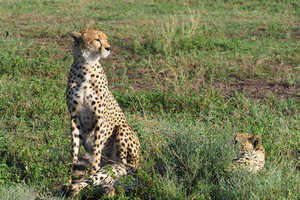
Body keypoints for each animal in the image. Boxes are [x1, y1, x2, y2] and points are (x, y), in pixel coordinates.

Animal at [65, 28, 139, 196]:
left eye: (106, 39)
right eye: (97, 39)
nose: (108, 48)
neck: (85, 66)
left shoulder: (100, 119)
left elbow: (96, 152)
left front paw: (91, 175)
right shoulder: (74, 118)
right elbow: (74, 153)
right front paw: (70, 180)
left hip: (123, 129)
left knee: (125, 165)